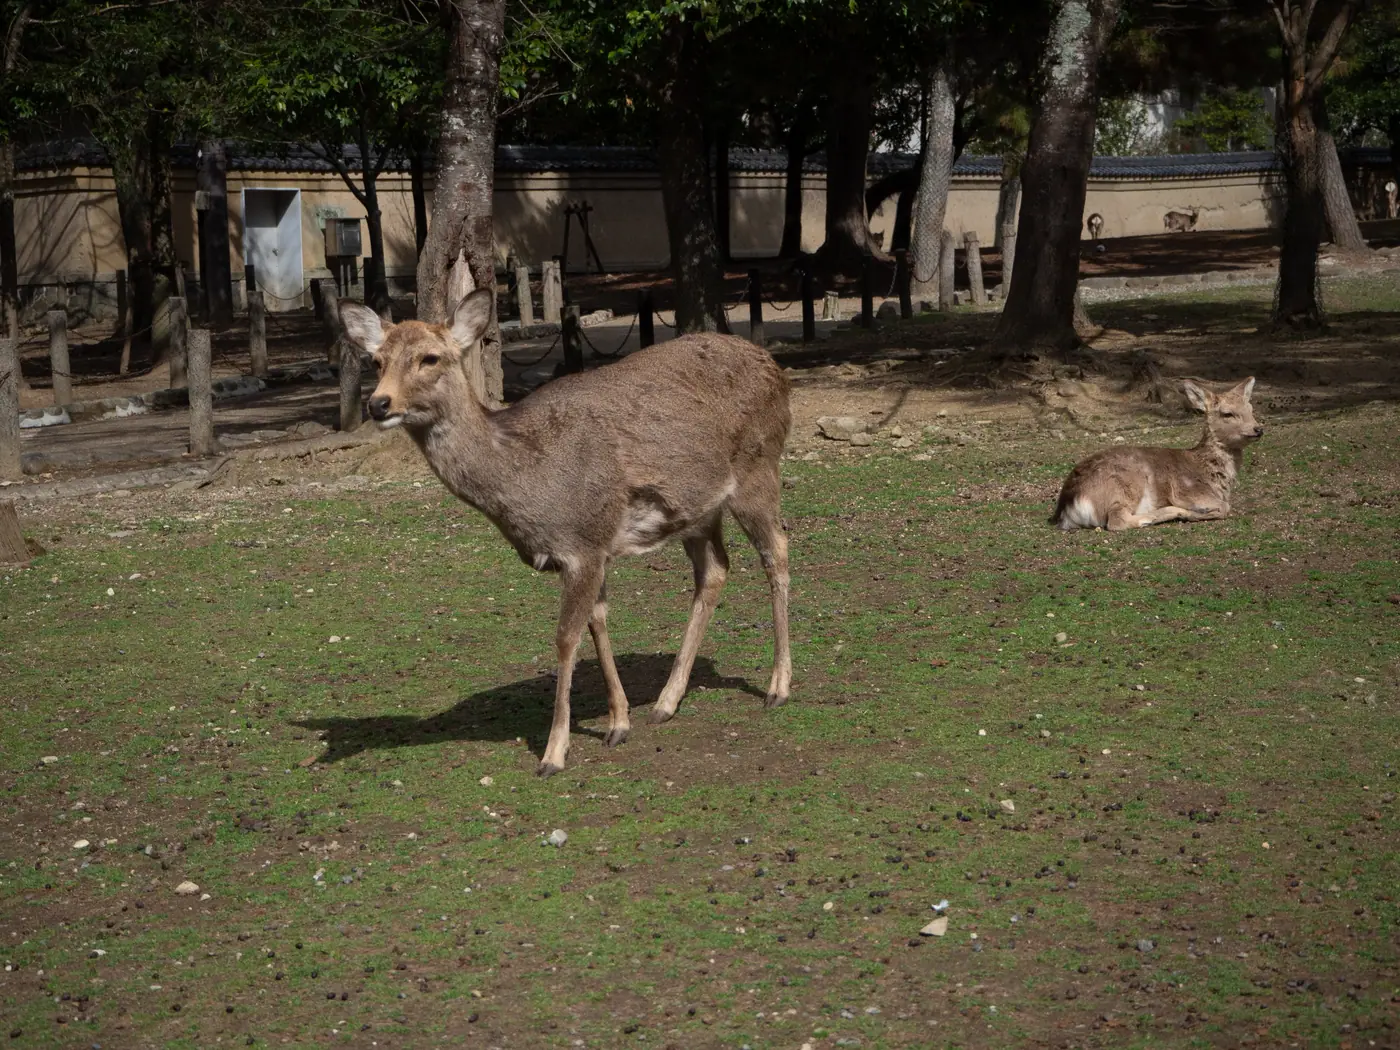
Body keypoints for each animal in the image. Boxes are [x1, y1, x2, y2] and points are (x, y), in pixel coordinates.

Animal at [338, 290, 793, 777]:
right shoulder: (592, 547)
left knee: (777, 551)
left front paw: (554, 752)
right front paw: (619, 723)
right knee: (715, 569)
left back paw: (777, 687)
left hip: (758, 468)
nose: (379, 404)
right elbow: (597, 622)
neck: (530, 485)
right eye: (376, 360)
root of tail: (775, 369)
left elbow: (565, 637)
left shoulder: (584, 544)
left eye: (430, 357)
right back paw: (667, 702)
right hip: (698, 509)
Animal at [1052, 377, 1263, 531]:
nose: (1258, 429)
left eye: (1251, 409)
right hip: (1125, 486)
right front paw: (1196, 514)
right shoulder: (1187, 491)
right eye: (1227, 413)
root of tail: (1070, 504)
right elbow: (1225, 507)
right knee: (1116, 521)